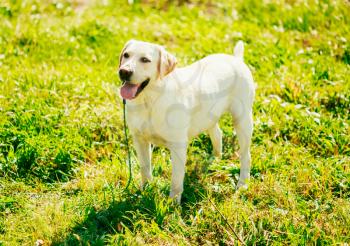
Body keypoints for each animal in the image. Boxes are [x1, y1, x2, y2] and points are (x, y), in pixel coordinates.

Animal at [118, 40, 254, 202]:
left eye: (145, 60)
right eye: (126, 55)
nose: (124, 72)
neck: (149, 100)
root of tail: (236, 59)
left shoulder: (178, 146)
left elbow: (176, 180)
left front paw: (173, 203)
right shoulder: (139, 140)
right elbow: (145, 169)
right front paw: (144, 190)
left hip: (243, 121)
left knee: (246, 156)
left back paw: (243, 183)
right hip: (208, 115)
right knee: (217, 133)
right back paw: (214, 159)